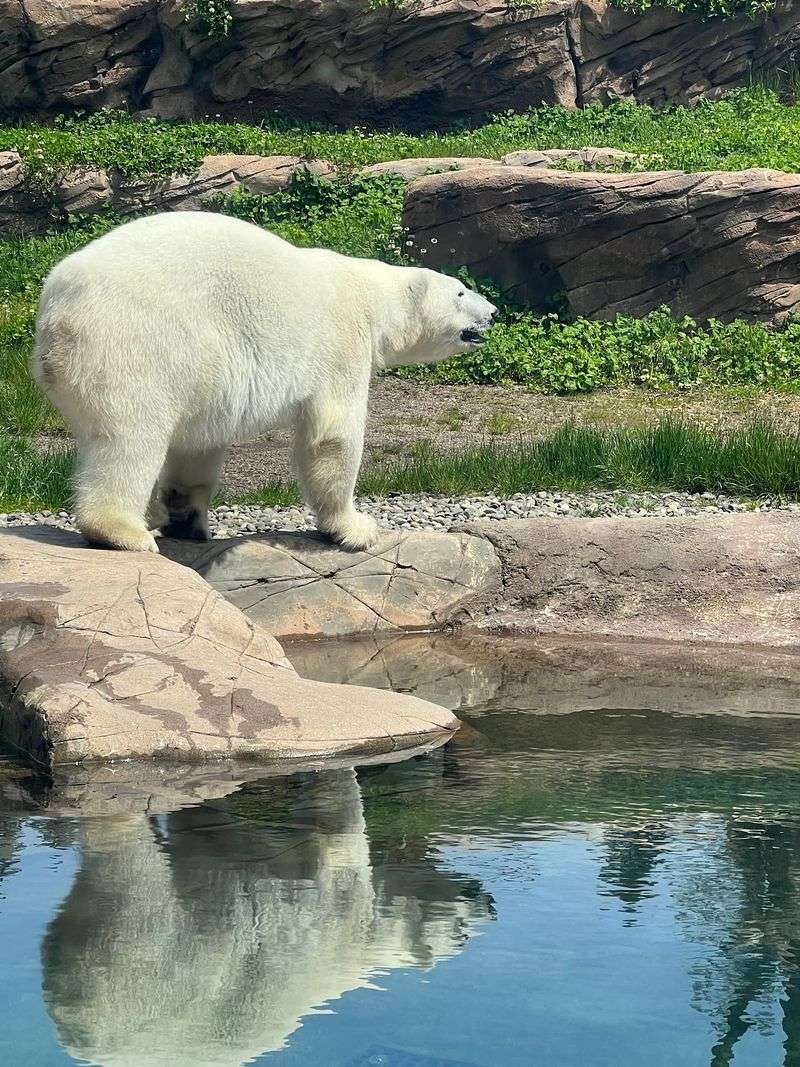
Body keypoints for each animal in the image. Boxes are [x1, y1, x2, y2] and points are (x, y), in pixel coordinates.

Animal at [31, 211, 497, 554]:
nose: (492, 312)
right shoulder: (341, 340)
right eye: (460, 292)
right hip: (134, 343)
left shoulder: (211, 378)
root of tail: (57, 306)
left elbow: (199, 439)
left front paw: (188, 518)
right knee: (131, 435)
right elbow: (334, 433)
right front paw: (355, 527)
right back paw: (123, 532)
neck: (372, 295)